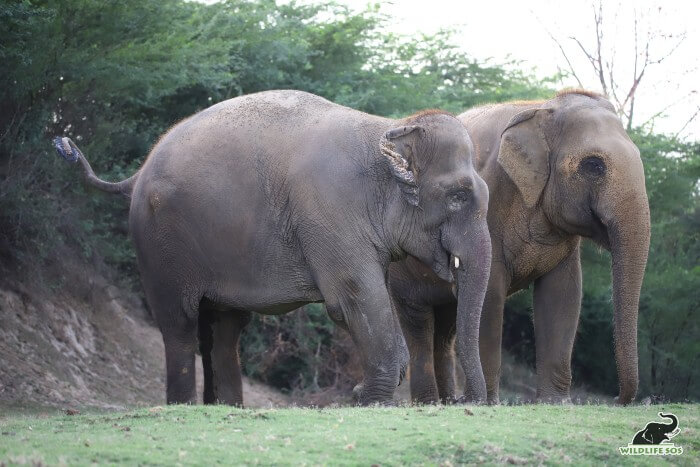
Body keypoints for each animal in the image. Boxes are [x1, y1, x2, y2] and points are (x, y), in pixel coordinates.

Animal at [54, 90, 492, 406]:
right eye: (457, 197)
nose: (460, 401)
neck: (388, 130)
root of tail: (137, 173)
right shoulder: (330, 211)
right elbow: (353, 297)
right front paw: (368, 401)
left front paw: (365, 397)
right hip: (159, 244)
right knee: (179, 323)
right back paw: (183, 407)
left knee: (224, 327)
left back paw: (227, 408)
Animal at [388, 88, 652, 406]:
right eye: (593, 166)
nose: (616, 399)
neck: (541, 108)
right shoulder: (488, 203)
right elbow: (490, 295)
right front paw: (489, 402)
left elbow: (563, 295)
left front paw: (554, 403)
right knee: (419, 325)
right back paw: (431, 402)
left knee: (447, 325)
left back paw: (448, 402)